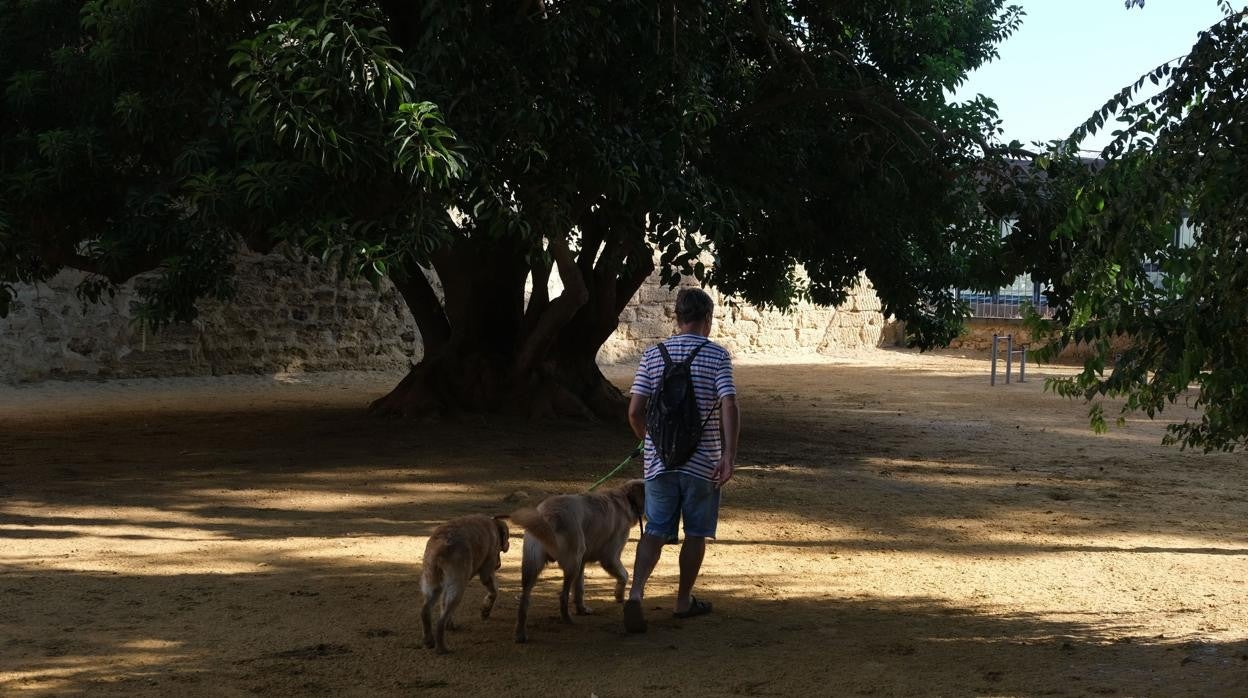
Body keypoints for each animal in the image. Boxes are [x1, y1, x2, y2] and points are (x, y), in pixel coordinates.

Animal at [419, 514, 506, 654]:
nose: (498, 565)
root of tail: (440, 547)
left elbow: (444, 607)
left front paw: (450, 624)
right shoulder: (486, 572)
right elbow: (494, 591)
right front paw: (485, 611)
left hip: (432, 584)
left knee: (426, 610)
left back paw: (429, 640)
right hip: (457, 587)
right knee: (440, 622)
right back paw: (442, 648)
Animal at [509, 479, 643, 644]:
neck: (626, 498)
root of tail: (548, 515)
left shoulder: (583, 562)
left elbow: (580, 589)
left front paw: (582, 609)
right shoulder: (610, 557)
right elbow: (625, 575)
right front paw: (619, 595)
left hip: (533, 566)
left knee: (524, 601)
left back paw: (520, 634)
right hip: (572, 564)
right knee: (563, 596)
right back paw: (567, 619)